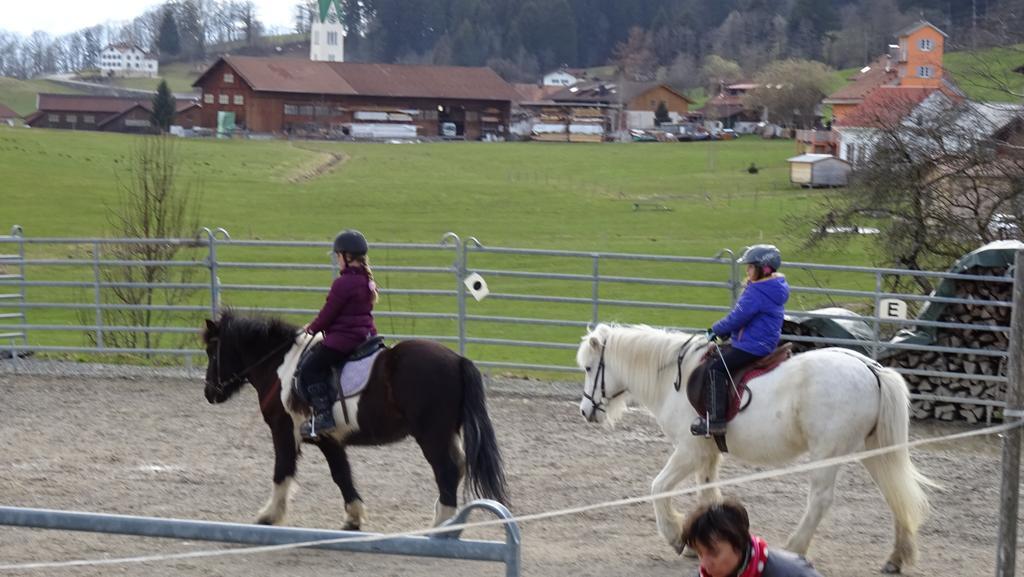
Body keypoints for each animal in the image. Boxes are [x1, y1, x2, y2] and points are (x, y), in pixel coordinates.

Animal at [199, 313, 507, 528]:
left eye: (212, 352)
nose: (209, 393)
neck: (282, 367)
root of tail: (457, 360)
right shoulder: (329, 439)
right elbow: (342, 475)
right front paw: (354, 517)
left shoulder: (283, 430)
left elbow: (282, 471)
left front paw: (269, 515)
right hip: (446, 433)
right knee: (459, 466)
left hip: (431, 435)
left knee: (446, 470)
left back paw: (440, 527)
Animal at [577, 323, 937, 573]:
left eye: (589, 368)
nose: (585, 411)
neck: (673, 379)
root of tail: (872, 369)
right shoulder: (707, 455)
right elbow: (708, 494)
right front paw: (701, 543)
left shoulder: (690, 451)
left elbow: (658, 488)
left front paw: (676, 537)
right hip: (873, 450)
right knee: (894, 493)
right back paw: (896, 558)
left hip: (828, 452)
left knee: (821, 500)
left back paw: (794, 548)